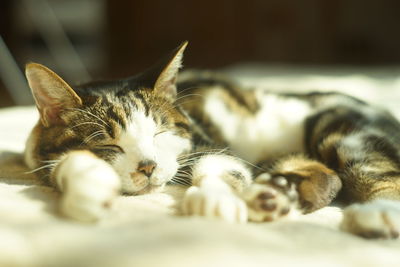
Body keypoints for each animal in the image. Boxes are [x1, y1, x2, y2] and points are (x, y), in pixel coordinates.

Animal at [24, 43, 400, 240]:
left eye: (160, 133)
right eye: (108, 145)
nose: (148, 167)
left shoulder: (209, 142)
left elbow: (219, 164)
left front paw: (214, 199)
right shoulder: (36, 152)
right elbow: (62, 163)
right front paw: (88, 188)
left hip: (340, 127)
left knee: (375, 172)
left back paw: (378, 214)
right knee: (329, 177)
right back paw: (274, 196)